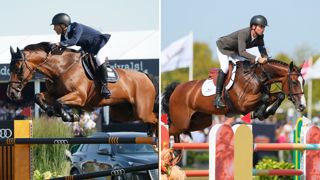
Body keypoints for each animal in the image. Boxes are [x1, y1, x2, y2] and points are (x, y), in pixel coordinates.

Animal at [6, 42, 159, 131]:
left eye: (18, 69)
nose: (11, 94)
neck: (61, 68)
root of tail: (146, 76)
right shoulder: (54, 94)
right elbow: (39, 97)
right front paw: (51, 111)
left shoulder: (79, 97)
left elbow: (58, 102)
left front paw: (70, 117)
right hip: (123, 113)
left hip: (141, 111)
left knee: (155, 118)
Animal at [164, 59, 306, 140]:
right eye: (294, 82)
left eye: (303, 82)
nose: (302, 106)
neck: (258, 76)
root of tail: (177, 88)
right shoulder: (243, 104)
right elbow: (265, 97)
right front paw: (259, 113)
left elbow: (279, 95)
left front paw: (262, 113)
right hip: (181, 122)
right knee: (169, 130)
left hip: (200, 122)